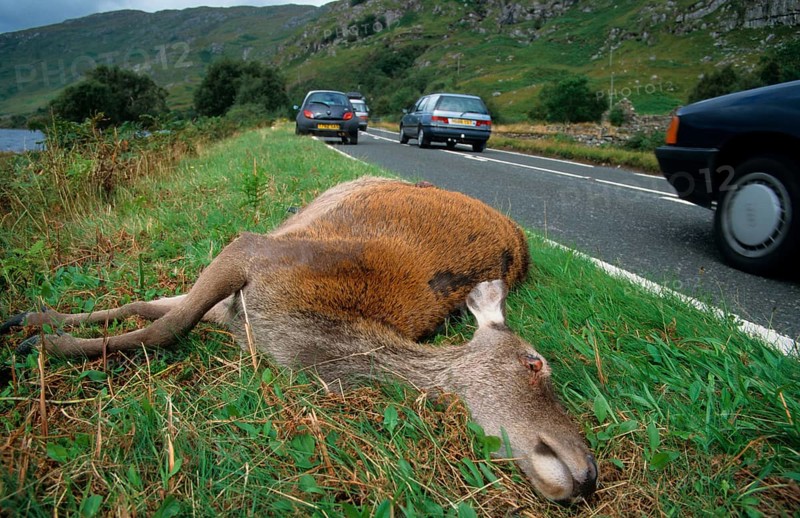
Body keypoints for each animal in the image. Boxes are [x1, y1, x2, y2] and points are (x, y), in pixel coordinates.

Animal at [1, 176, 598, 503]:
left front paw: (40, 327)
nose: (590, 474)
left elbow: (152, 312)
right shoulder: (252, 250)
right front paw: (42, 342)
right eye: (536, 363)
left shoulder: (234, 314)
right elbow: (161, 323)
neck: (299, 331)